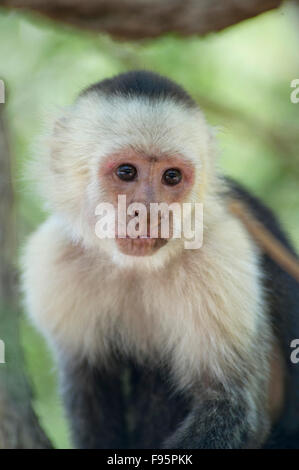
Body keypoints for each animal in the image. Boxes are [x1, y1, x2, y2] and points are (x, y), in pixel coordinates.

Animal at [21, 70, 299, 448]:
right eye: (126, 172)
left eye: (172, 176)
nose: (149, 212)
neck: (135, 267)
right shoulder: (52, 260)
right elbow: (88, 387)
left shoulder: (222, 254)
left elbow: (232, 406)